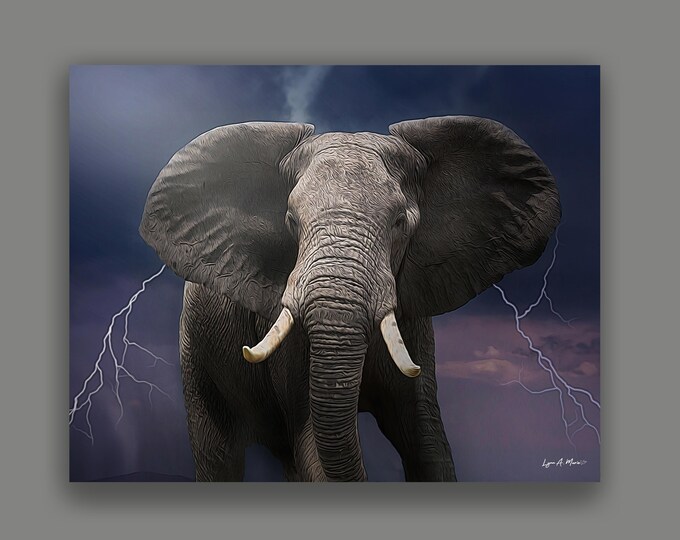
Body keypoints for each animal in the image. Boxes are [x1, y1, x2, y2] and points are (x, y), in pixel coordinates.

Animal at [139, 116, 561, 482]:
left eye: (400, 223)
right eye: (291, 221)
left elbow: (426, 441)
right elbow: (313, 445)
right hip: (196, 350)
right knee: (219, 453)